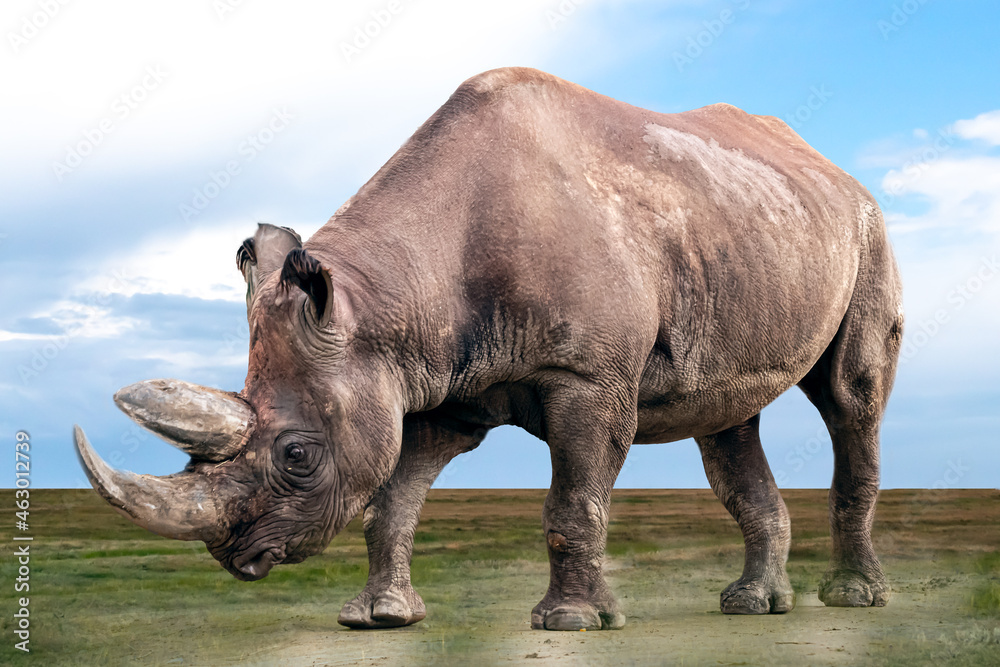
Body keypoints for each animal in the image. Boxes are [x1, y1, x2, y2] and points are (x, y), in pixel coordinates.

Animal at [75, 67, 903, 631]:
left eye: (298, 455)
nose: (236, 557)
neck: (385, 299)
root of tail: (834, 168)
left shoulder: (587, 375)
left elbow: (573, 500)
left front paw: (571, 621)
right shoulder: (431, 381)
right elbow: (392, 499)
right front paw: (379, 616)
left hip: (866, 226)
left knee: (850, 398)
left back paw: (853, 598)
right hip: (752, 222)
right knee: (728, 421)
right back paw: (751, 606)